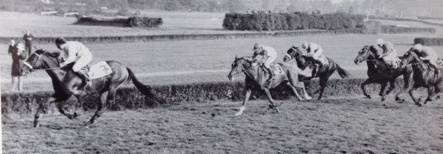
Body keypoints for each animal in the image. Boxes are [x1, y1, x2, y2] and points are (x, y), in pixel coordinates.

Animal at [20, 49, 158, 127]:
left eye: (32, 57)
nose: (21, 69)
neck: (62, 74)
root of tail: (124, 67)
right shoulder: (60, 94)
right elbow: (44, 102)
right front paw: (36, 121)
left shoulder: (74, 94)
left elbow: (61, 107)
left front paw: (74, 114)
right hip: (103, 90)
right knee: (102, 104)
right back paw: (90, 121)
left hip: (113, 85)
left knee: (110, 102)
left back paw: (91, 120)